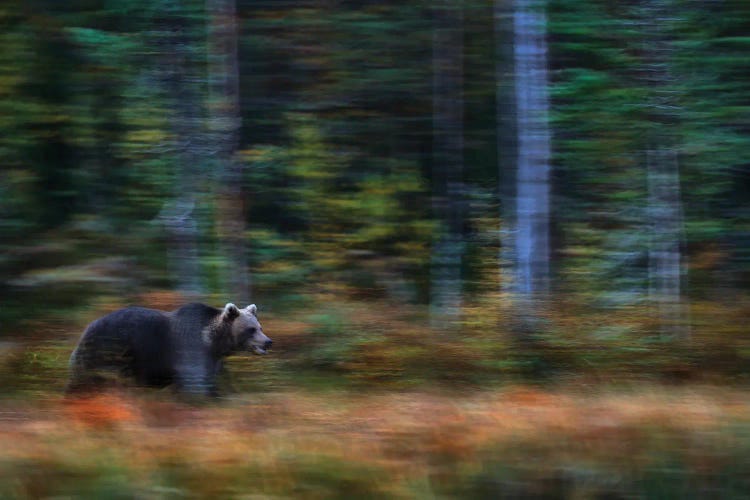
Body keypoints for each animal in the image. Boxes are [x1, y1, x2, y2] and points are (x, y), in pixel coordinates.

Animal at [67, 302, 272, 396]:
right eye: (251, 329)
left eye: (260, 327)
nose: (268, 342)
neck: (213, 341)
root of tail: (86, 329)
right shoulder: (190, 350)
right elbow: (194, 384)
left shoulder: (212, 359)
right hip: (109, 351)